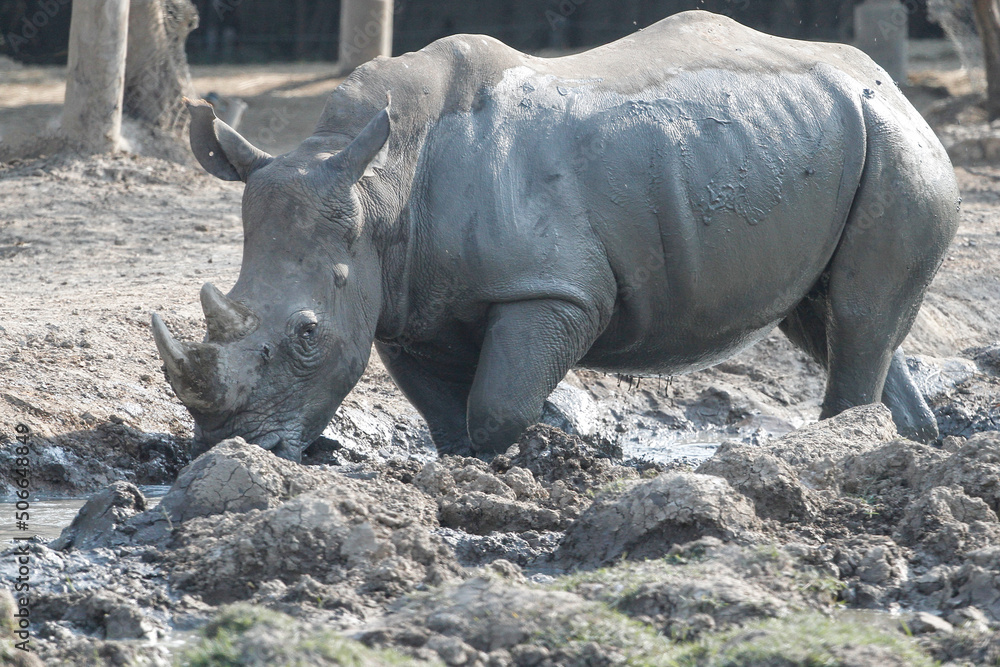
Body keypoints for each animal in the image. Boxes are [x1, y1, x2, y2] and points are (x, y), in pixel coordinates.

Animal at [152, 11, 959, 461]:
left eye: (307, 334)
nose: (229, 448)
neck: (379, 191)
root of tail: (889, 82)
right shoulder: (403, 306)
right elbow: (445, 413)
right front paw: (468, 467)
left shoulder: (554, 289)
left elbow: (496, 404)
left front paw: (533, 456)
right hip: (823, 140)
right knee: (828, 320)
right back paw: (913, 444)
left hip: (896, 143)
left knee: (857, 314)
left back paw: (841, 448)